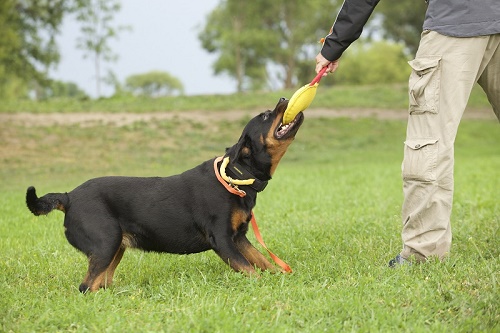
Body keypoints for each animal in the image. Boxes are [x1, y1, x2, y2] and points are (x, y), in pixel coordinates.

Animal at [25, 97, 302, 292]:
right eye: (265, 115)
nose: (282, 98)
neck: (236, 174)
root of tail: (69, 196)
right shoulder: (222, 239)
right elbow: (249, 269)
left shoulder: (239, 237)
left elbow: (262, 261)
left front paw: (279, 277)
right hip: (106, 242)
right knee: (86, 286)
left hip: (114, 247)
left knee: (101, 283)